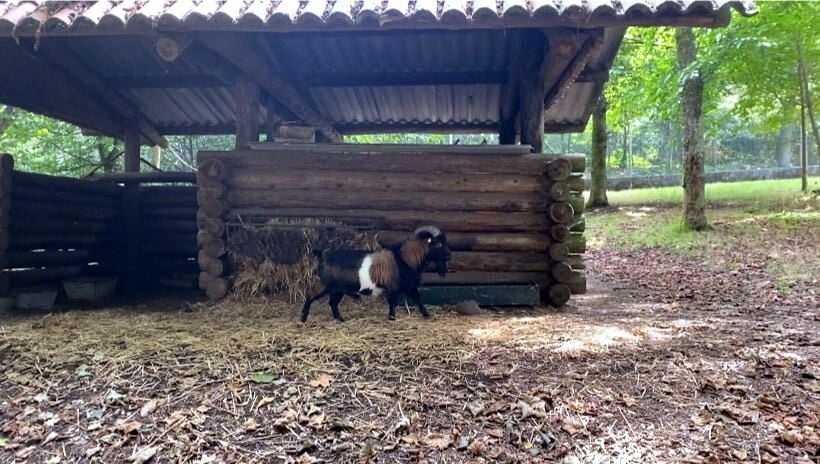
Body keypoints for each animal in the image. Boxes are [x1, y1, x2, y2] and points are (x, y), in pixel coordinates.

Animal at [302, 226, 452, 322]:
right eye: (439, 244)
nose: (450, 255)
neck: (404, 258)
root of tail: (322, 254)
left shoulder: (409, 286)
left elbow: (418, 299)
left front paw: (427, 314)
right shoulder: (393, 287)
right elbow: (393, 303)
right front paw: (392, 318)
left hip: (337, 289)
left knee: (332, 303)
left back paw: (339, 319)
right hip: (325, 284)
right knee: (310, 296)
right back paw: (303, 319)